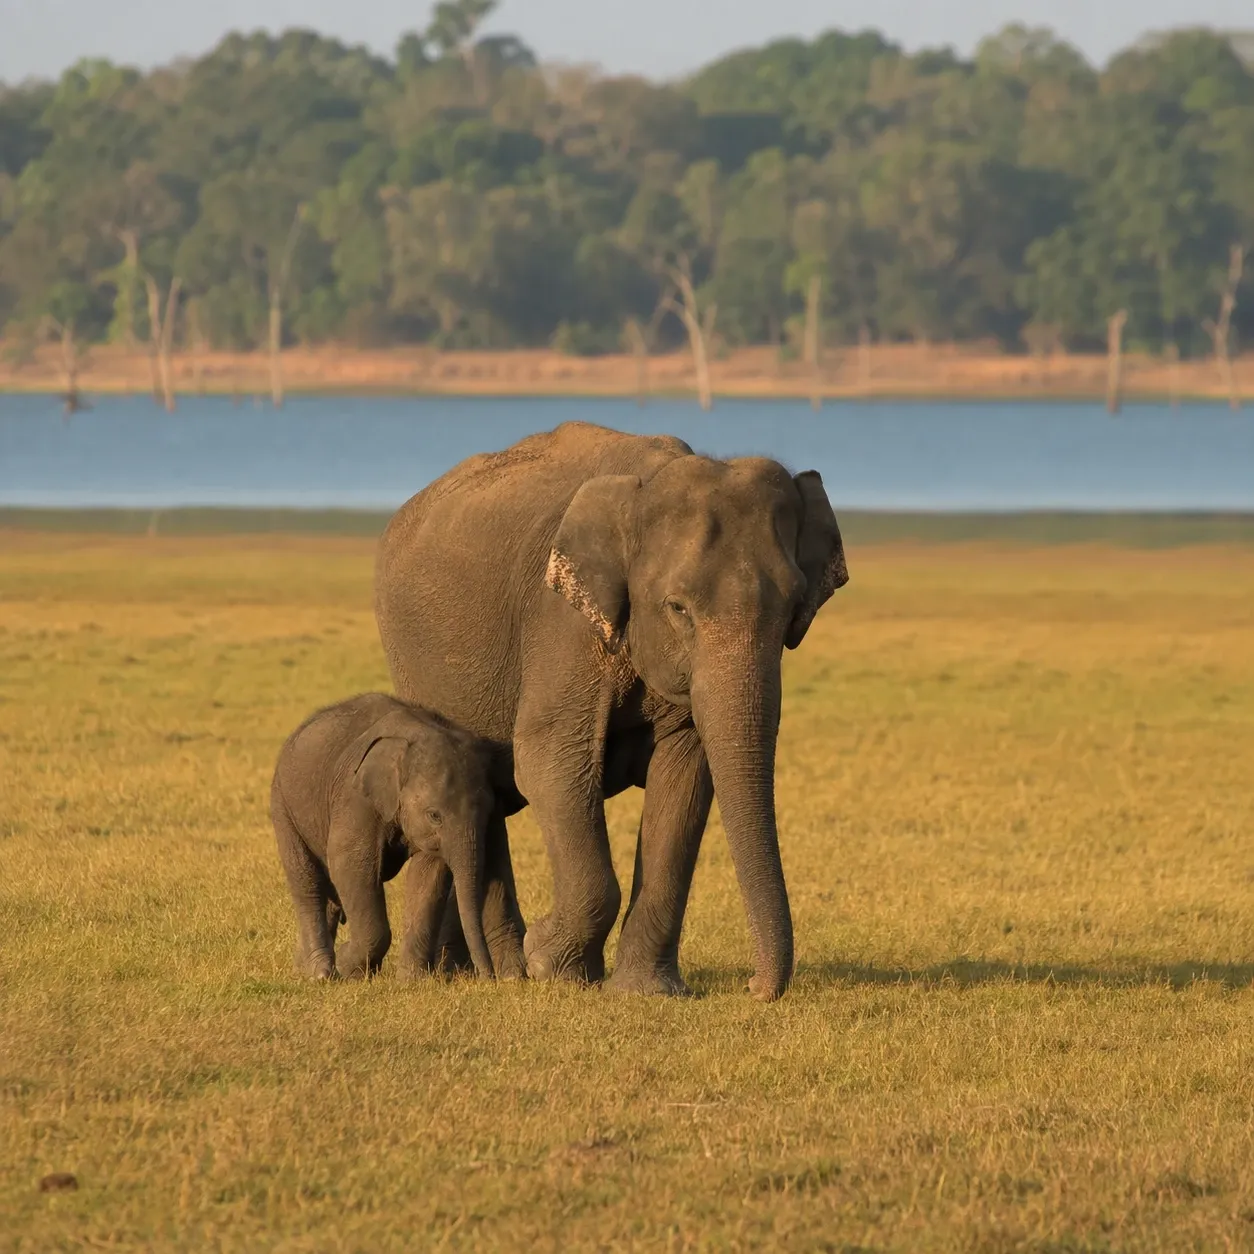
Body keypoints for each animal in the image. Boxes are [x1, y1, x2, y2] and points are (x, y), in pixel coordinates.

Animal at [269, 692, 514, 981]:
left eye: (488, 813)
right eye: (434, 815)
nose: (491, 977)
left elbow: (429, 875)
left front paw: (412, 980)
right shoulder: (355, 797)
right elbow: (349, 864)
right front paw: (349, 967)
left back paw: (303, 967)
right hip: (283, 806)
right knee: (307, 882)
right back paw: (320, 973)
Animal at [374, 421, 848, 1001]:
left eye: (793, 609)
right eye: (677, 608)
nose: (755, 987)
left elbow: (685, 779)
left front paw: (645, 991)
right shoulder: (561, 622)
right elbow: (551, 763)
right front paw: (549, 964)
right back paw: (496, 970)